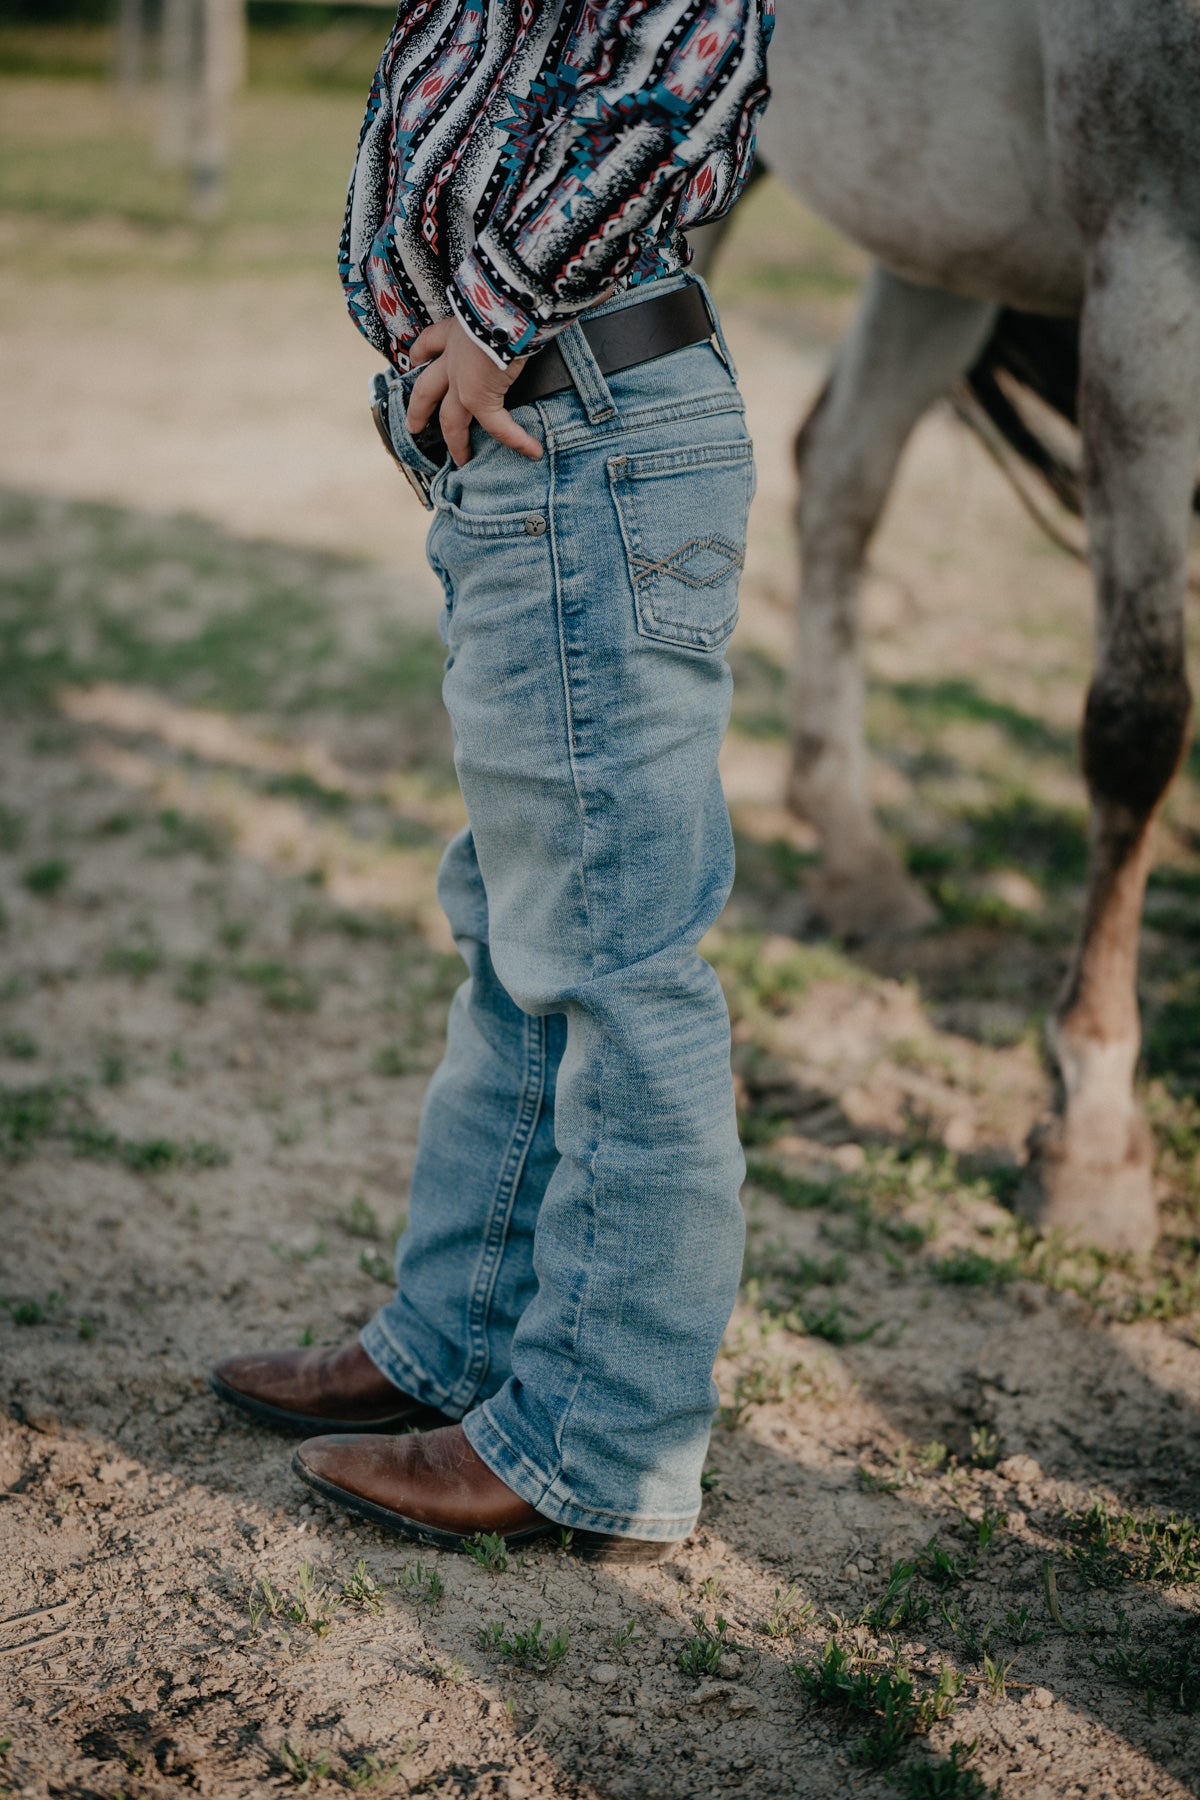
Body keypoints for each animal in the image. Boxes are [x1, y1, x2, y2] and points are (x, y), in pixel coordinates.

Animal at [708, 3, 1194, 1252]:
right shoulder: (1151, 261)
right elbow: (1140, 720)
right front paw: (1091, 1131)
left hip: (926, 212)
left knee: (839, 469)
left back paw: (856, 855)